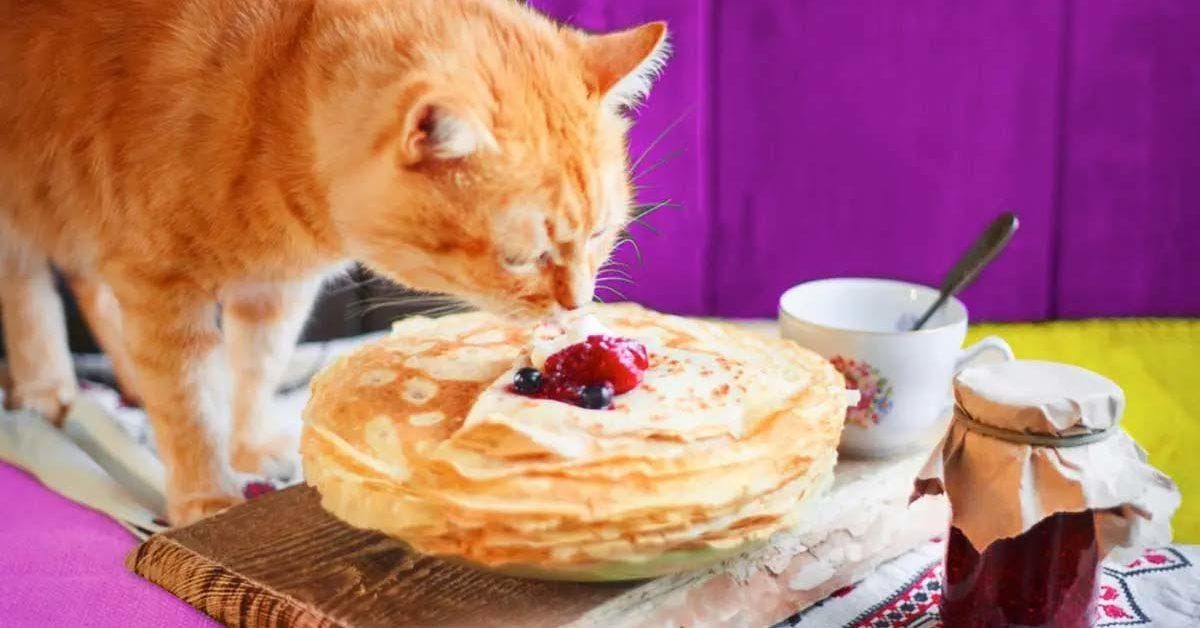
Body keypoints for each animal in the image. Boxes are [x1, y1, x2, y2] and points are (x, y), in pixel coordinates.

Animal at [0, 0, 667, 523]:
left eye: (600, 233)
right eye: (522, 257)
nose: (576, 303)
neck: (270, 94)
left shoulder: (275, 290)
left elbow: (257, 367)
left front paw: (248, 446)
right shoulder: (160, 284)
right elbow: (188, 402)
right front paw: (205, 495)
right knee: (30, 289)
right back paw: (46, 389)